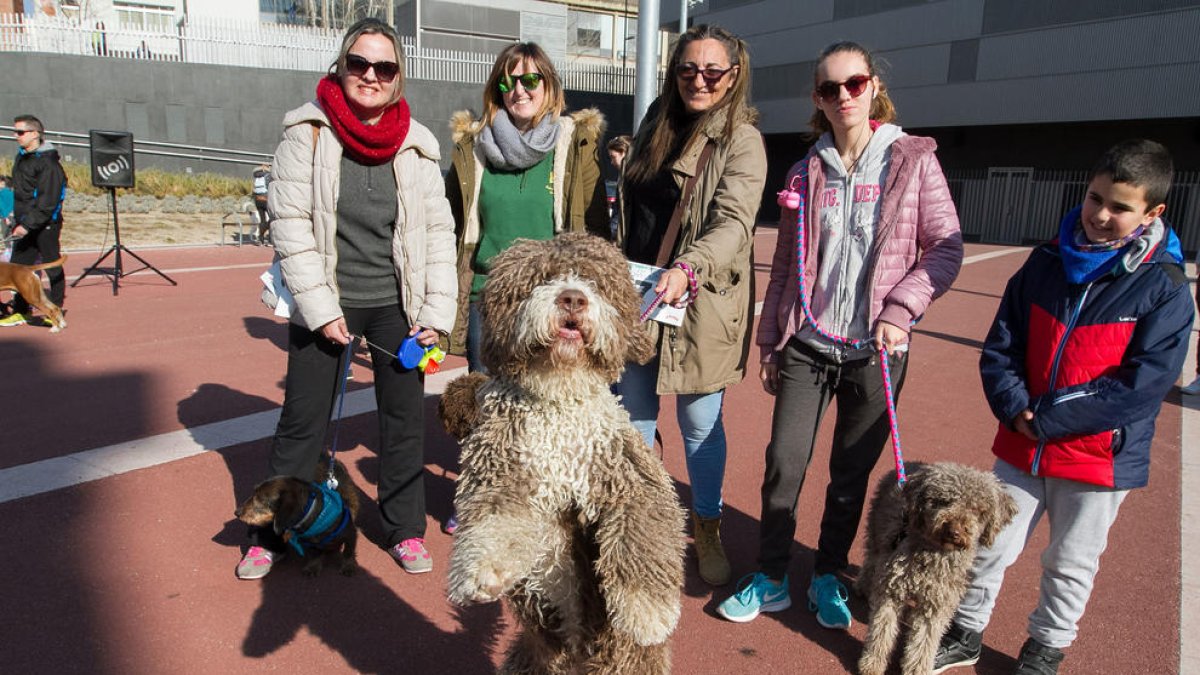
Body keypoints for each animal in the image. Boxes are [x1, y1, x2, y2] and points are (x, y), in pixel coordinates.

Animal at [439, 233, 686, 672]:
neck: (558, 398)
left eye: (595, 282)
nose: (572, 298)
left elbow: (646, 528)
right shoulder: (503, 462)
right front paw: (484, 571)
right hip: (534, 658)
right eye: (541, 279)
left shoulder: (628, 471)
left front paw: (648, 612)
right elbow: (494, 517)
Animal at [859, 458, 1017, 672]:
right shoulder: (891, 592)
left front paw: (916, 670)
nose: (954, 530)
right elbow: (881, 633)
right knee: (871, 560)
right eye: (942, 501)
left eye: (977, 510)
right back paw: (863, 587)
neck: (933, 555)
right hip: (877, 532)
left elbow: (924, 644)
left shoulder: (936, 606)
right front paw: (872, 664)